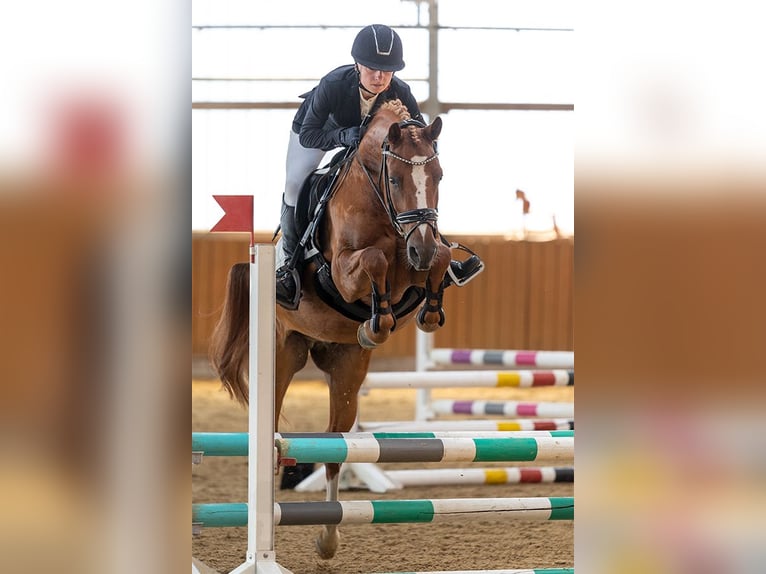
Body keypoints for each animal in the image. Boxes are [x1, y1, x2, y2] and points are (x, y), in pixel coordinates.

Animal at [208, 101, 450, 560]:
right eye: (395, 179)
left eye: (439, 176)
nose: (421, 249)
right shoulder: (341, 270)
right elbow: (373, 259)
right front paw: (378, 324)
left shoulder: (413, 257)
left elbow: (439, 259)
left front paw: (423, 311)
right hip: (284, 352)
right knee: (273, 432)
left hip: (346, 371)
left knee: (334, 449)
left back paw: (327, 539)